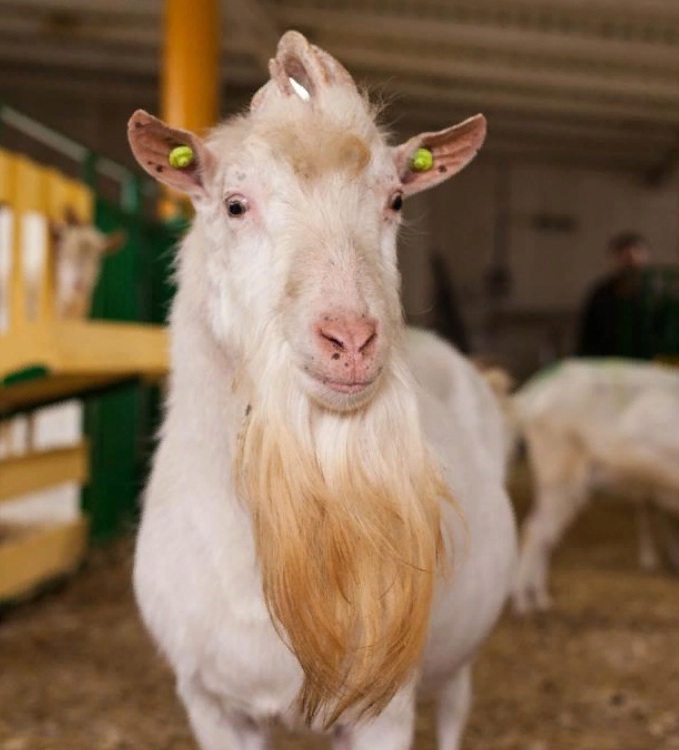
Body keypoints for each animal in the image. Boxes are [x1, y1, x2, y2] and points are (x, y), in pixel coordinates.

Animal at [127, 31, 517, 750]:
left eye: (395, 201)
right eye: (234, 204)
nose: (352, 338)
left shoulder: (383, 704)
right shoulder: (208, 699)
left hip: (459, 657)